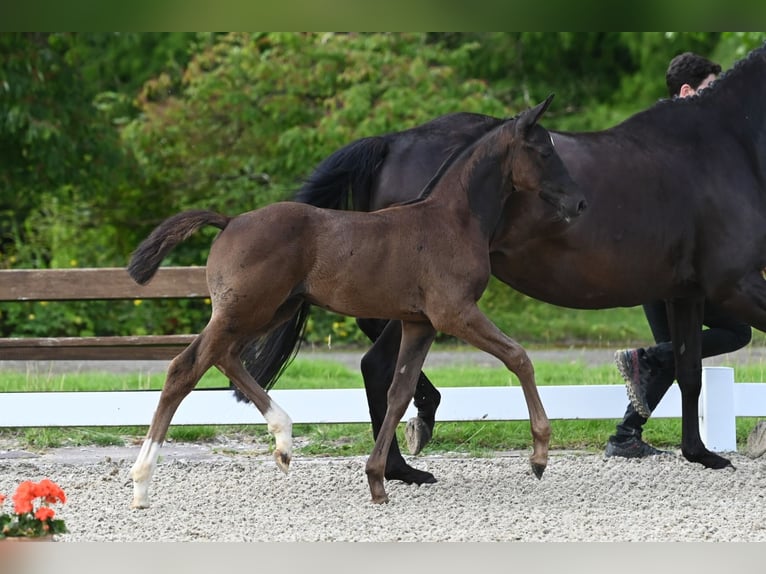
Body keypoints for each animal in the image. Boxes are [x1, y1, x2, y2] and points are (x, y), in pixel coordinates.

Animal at [246, 42, 766, 486]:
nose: (578, 203)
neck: (724, 146)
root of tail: (392, 142)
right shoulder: (734, 285)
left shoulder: (688, 292)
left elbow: (690, 370)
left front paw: (700, 454)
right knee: (379, 365)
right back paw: (402, 460)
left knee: (382, 366)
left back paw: (401, 460)